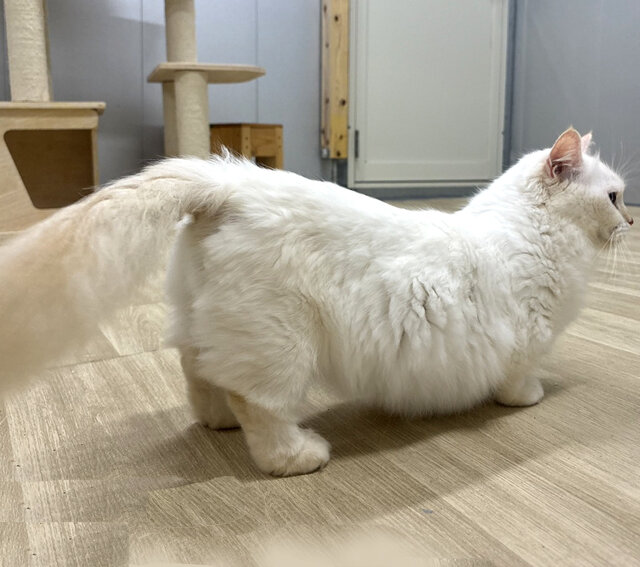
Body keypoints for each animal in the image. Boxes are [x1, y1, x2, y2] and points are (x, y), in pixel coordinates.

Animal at [0, 128, 633, 476]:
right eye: (615, 197)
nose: (630, 221)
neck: (528, 229)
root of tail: (230, 184)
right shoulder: (529, 339)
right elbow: (520, 381)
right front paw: (529, 399)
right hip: (280, 347)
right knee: (258, 405)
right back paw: (297, 456)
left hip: (202, 325)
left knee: (199, 375)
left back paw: (216, 424)